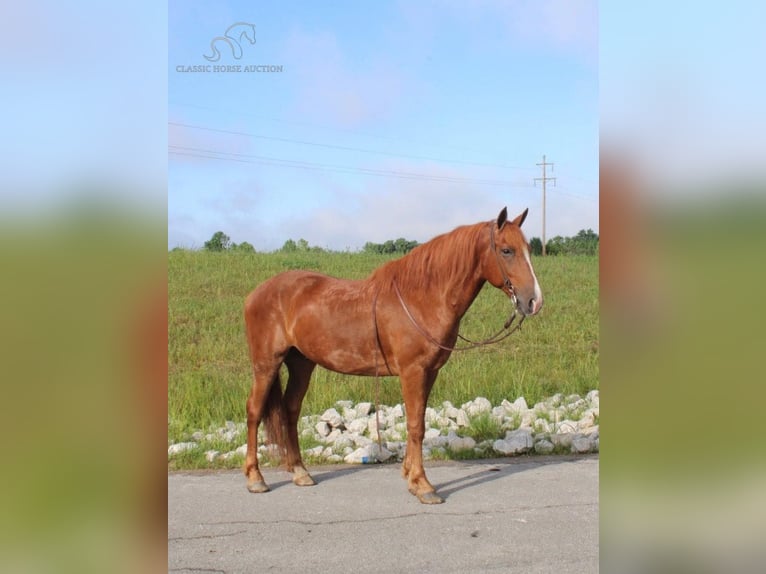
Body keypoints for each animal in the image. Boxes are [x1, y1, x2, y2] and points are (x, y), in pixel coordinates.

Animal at [243, 207, 544, 504]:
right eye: (506, 250)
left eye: (528, 249)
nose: (534, 301)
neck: (422, 297)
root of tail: (256, 293)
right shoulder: (413, 371)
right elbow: (415, 425)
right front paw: (422, 485)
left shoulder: (429, 372)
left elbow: (417, 422)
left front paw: (410, 475)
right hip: (266, 364)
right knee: (255, 411)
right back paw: (255, 478)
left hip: (301, 364)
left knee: (290, 410)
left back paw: (300, 472)